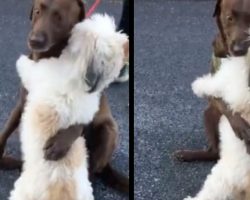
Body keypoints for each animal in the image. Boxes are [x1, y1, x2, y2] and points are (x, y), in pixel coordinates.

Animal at [0, 0, 129, 194]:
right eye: (37, 11)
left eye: (59, 17)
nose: (34, 40)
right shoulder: (23, 102)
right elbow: (7, 128)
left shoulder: (89, 103)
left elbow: (77, 123)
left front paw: (59, 145)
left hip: (109, 130)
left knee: (94, 168)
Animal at [175, 0, 250, 162]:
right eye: (229, 18)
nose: (239, 49)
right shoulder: (214, 82)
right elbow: (222, 100)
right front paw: (240, 125)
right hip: (209, 114)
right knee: (214, 152)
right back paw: (187, 154)